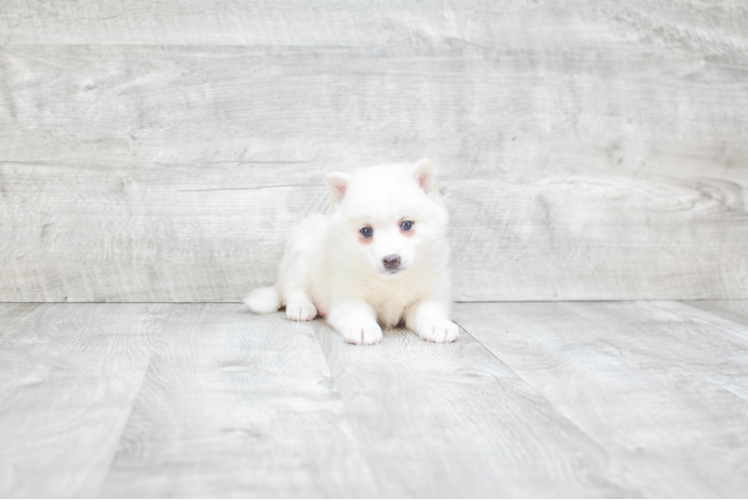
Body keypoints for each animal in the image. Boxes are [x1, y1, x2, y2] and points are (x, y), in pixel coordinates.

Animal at [244, 158, 456, 346]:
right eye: (366, 231)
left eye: (407, 224)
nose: (391, 260)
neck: (392, 282)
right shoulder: (347, 297)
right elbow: (357, 311)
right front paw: (363, 328)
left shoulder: (430, 294)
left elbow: (428, 310)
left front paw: (438, 325)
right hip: (301, 252)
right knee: (293, 289)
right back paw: (302, 307)